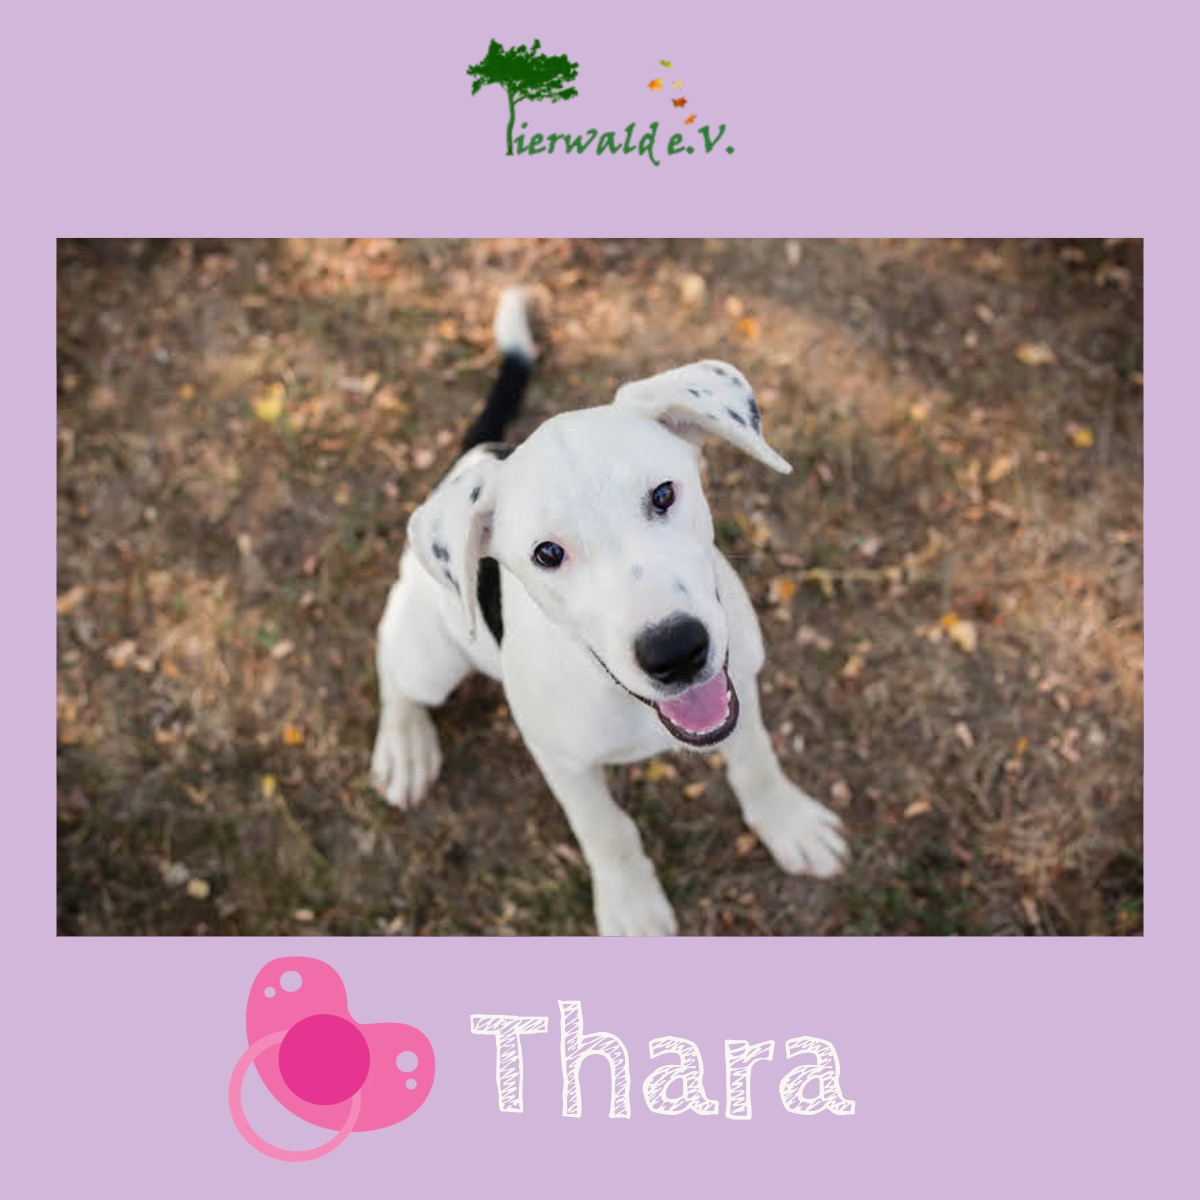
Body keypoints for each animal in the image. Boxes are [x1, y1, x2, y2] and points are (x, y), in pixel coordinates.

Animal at [371, 289, 846, 935]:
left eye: (664, 494)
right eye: (548, 553)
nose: (676, 651)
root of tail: (472, 459)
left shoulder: (739, 685)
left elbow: (757, 763)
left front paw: (788, 824)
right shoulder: (561, 760)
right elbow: (606, 832)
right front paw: (631, 903)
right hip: (432, 654)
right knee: (392, 658)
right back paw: (404, 744)